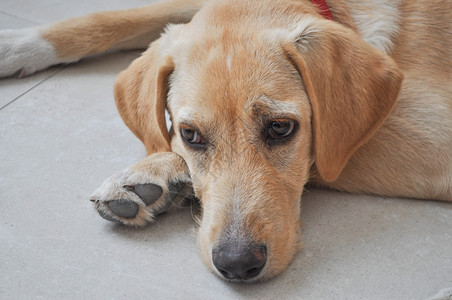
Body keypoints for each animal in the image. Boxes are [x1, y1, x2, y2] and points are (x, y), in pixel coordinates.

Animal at [0, 0, 452, 282]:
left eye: (281, 128)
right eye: (192, 134)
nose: (236, 265)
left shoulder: (432, 133)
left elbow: (325, 160)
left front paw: (154, 172)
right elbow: (130, 15)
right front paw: (19, 44)